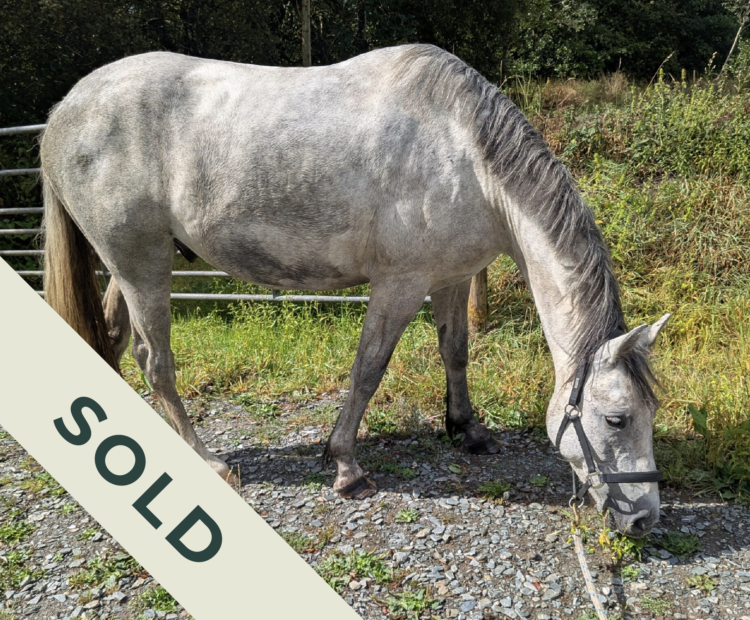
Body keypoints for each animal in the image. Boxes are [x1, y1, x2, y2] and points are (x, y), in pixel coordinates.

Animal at [41, 44, 669, 536]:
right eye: (616, 418)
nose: (645, 518)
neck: (467, 155)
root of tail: (63, 112)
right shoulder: (399, 284)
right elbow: (369, 370)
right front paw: (346, 466)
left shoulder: (450, 278)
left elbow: (455, 352)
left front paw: (466, 430)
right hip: (140, 264)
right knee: (157, 362)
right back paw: (210, 462)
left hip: (132, 265)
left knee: (117, 340)